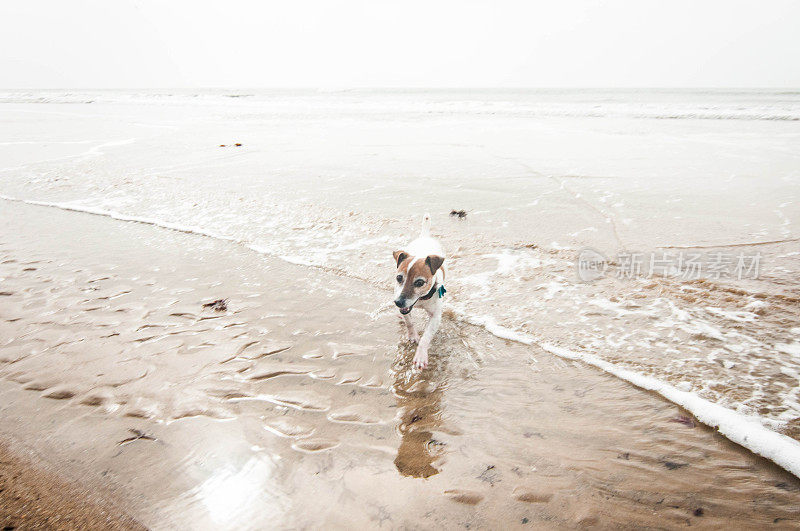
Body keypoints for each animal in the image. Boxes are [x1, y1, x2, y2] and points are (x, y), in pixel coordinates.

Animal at [392, 213, 444, 370]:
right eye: (399, 277)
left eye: (419, 282)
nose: (398, 302)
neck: (420, 300)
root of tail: (424, 237)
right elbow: (409, 322)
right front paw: (413, 335)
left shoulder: (435, 316)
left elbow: (426, 337)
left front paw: (421, 355)